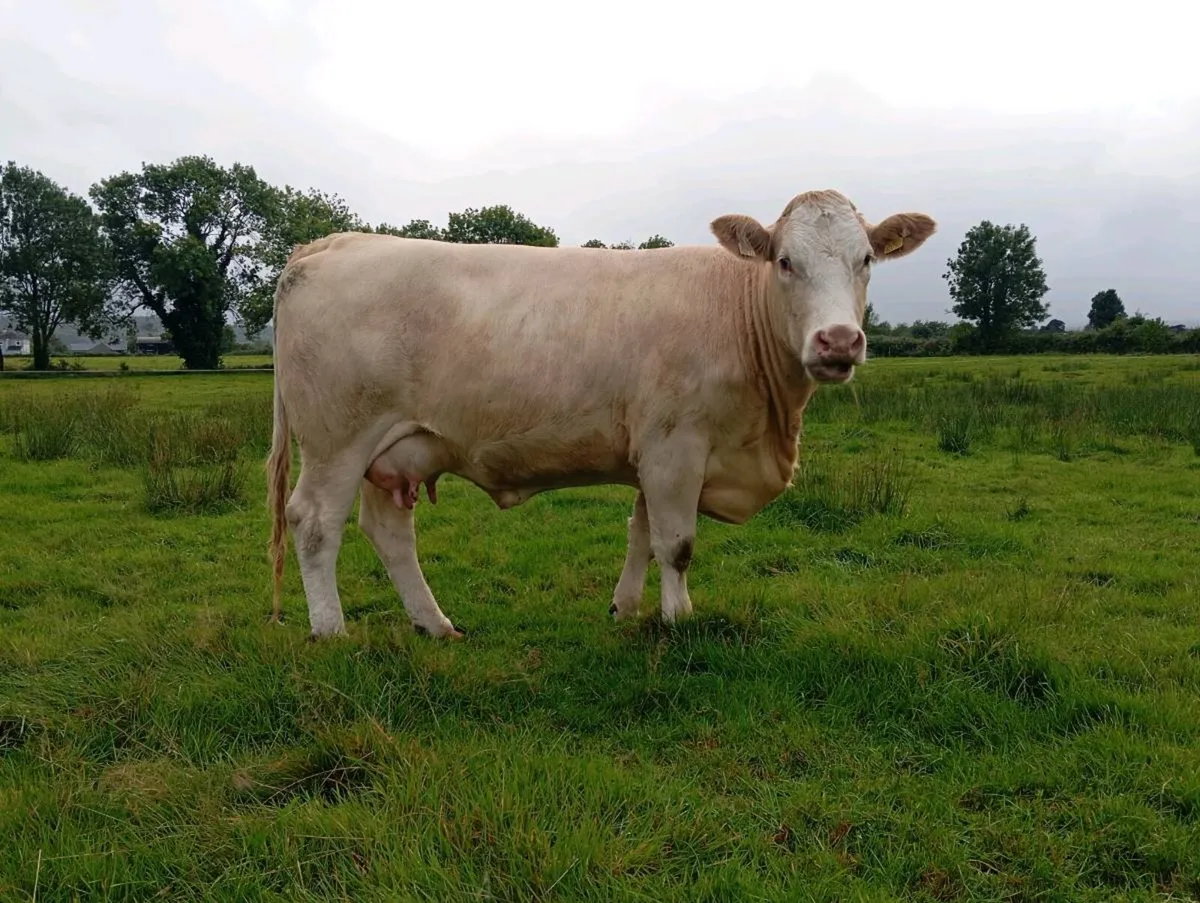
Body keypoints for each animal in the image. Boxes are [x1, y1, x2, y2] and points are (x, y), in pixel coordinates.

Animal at [266, 188, 936, 640]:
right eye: (785, 262)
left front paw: (628, 608)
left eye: (866, 260)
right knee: (315, 523)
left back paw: (436, 626)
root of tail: (332, 242)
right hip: (338, 440)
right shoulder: (676, 447)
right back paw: (331, 631)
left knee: (388, 532)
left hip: (397, 449)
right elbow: (677, 543)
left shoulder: (655, 453)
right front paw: (679, 620)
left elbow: (641, 534)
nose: (838, 341)